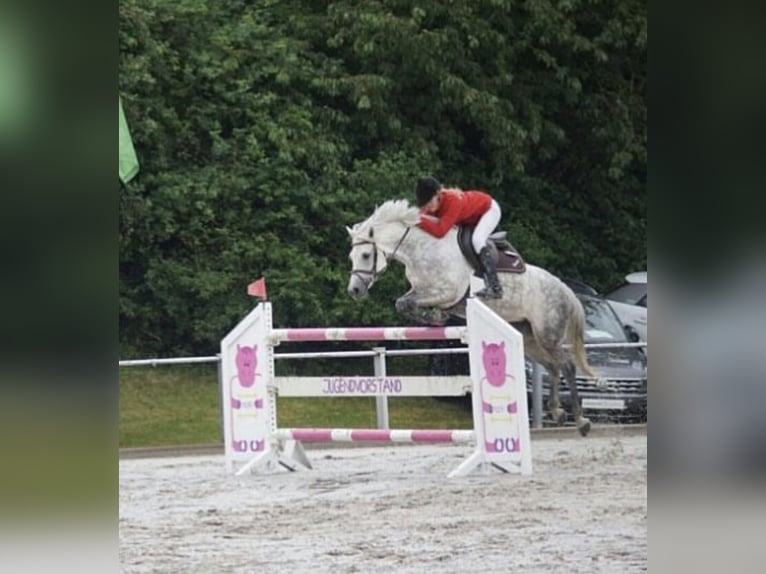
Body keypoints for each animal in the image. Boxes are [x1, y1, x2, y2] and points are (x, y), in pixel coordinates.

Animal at [348, 200, 600, 438]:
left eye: (366, 255)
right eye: (352, 257)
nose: (354, 291)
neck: (421, 250)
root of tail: (563, 288)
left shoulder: (447, 292)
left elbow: (406, 302)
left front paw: (435, 315)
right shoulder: (421, 290)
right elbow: (403, 303)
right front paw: (435, 316)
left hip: (548, 334)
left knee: (567, 366)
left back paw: (581, 421)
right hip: (530, 338)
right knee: (554, 368)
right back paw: (558, 412)